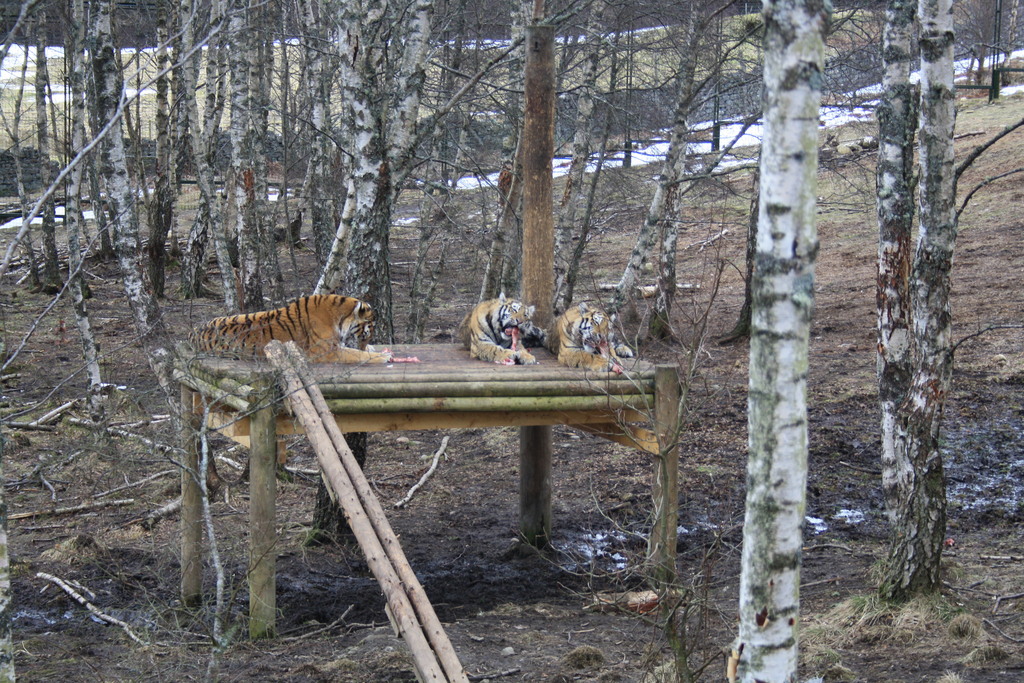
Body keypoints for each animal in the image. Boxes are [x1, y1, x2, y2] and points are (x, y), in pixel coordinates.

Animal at [191, 294, 419, 364]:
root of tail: (192, 332)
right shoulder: (326, 352)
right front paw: (382, 356)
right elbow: (355, 354)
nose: (367, 343)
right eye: (369, 329)